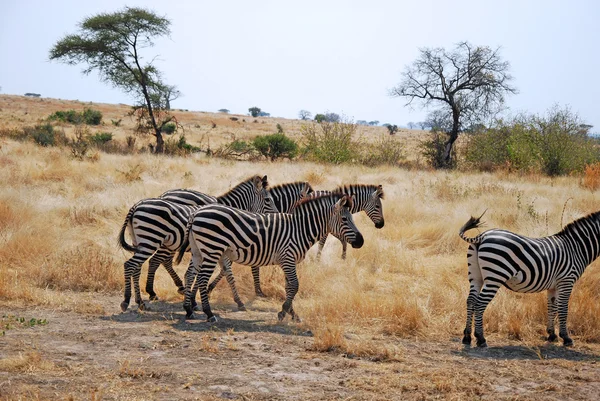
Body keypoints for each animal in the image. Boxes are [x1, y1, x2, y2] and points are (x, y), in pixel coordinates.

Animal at [118, 173, 276, 310]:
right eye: (268, 200)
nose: (275, 217)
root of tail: (137, 205)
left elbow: (210, 273)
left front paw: (193, 299)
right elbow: (207, 273)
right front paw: (195, 299)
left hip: (140, 241)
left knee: (139, 267)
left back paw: (141, 301)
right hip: (151, 240)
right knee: (133, 264)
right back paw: (129, 300)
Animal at [176, 192, 364, 320]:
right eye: (345, 219)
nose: (361, 241)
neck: (300, 230)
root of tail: (197, 212)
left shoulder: (287, 261)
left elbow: (289, 287)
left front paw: (291, 313)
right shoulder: (288, 258)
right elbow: (295, 286)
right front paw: (283, 312)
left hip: (198, 250)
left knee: (190, 274)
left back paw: (188, 309)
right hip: (212, 249)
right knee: (201, 278)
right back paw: (209, 313)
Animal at [460, 211, 600, 346]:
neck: (576, 248)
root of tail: (482, 236)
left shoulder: (554, 286)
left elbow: (552, 306)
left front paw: (551, 335)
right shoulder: (566, 280)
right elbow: (563, 308)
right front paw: (566, 337)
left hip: (475, 276)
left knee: (471, 300)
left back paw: (467, 337)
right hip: (495, 276)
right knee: (479, 304)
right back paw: (480, 338)